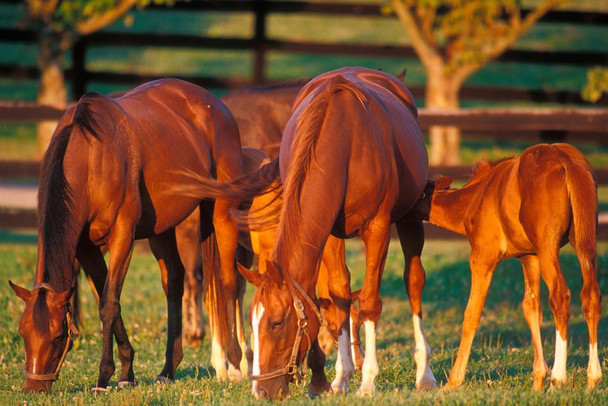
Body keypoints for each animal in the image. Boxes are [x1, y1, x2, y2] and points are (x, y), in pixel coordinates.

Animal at [7, 77, 258, 392]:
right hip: (162, 229)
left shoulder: (122, 236)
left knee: (228, 282)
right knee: (174, 281)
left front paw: (104, 377)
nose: (34, 388)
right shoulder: (87, 248)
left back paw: (236, 365)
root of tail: (216, 104)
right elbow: (108, 300)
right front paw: (127, 372)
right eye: (22, 332)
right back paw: (168, 369)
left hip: (221, 211)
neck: (89, 159)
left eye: (57, 336)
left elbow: (108, 304)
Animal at [229, 67, 432, 400]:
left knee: (414, 282)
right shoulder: (328, 232)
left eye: (276, 323)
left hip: (410, 215)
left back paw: (425, 374)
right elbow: (337, 297)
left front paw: (367, 380)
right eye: (251, 322)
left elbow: (370, 303)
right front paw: (335, 379)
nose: (261, 391)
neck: (343, 144)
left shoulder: (377, 228)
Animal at [410, 144, 600, 392]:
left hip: (548, 247)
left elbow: (472, 312)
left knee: (560, 296)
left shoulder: (483, 256)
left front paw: (453, 381)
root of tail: (566, 161)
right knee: (591, 295)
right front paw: (537, 381)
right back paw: (593, 379)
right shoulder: (529, 257)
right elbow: (531, 308)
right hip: (584, 242)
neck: (476, 197)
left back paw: (558, 379)